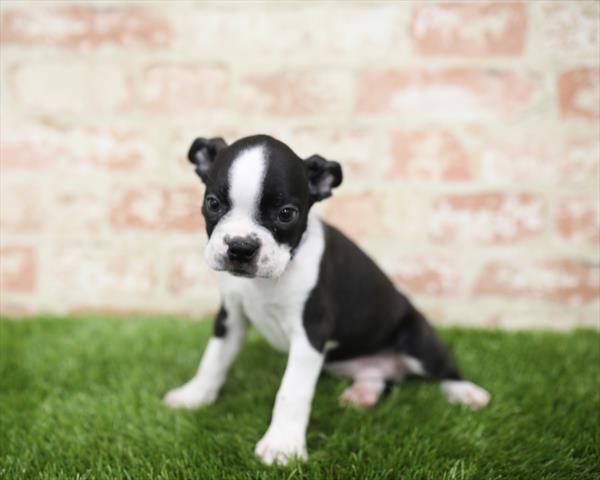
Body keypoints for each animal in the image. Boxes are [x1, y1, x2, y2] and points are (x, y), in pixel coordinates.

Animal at [163, 134, 488, 464]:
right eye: (212, 203)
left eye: (286, 213)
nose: (241, 247)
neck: (269, 280)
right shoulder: (231, 317)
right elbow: (213, 359)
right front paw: (194, 396)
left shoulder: (311, 333)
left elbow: (292, 390)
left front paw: (282, 444)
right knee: (377, 376)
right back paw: (364, 393)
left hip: (416, 339)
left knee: (445, 366)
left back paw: (464, 391)